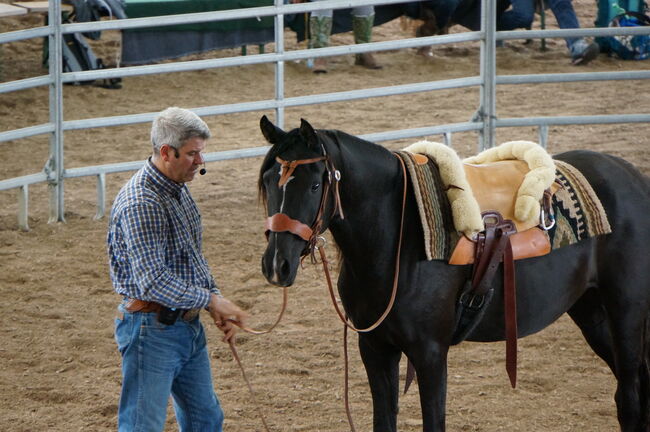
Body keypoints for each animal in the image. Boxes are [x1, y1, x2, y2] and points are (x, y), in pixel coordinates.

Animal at [256, 115, 648, 432]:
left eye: (314, 185)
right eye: (269, 183)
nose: (277, 264)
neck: (398, 239)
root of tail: (635, 179)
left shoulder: (430, 353)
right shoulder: (375, 348)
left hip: (626, 311)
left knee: (630, 398)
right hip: (592, 312)